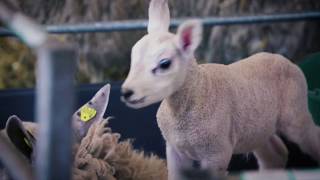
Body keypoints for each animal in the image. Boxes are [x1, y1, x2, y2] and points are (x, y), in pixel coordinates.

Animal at [120, 0, 320, 178]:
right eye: (133, 57)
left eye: (164, 63)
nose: (126, 92)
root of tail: (285, 59)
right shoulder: (175, 149)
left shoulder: (217, 153)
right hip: (256, 128)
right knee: (275, 154)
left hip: (295, 113)